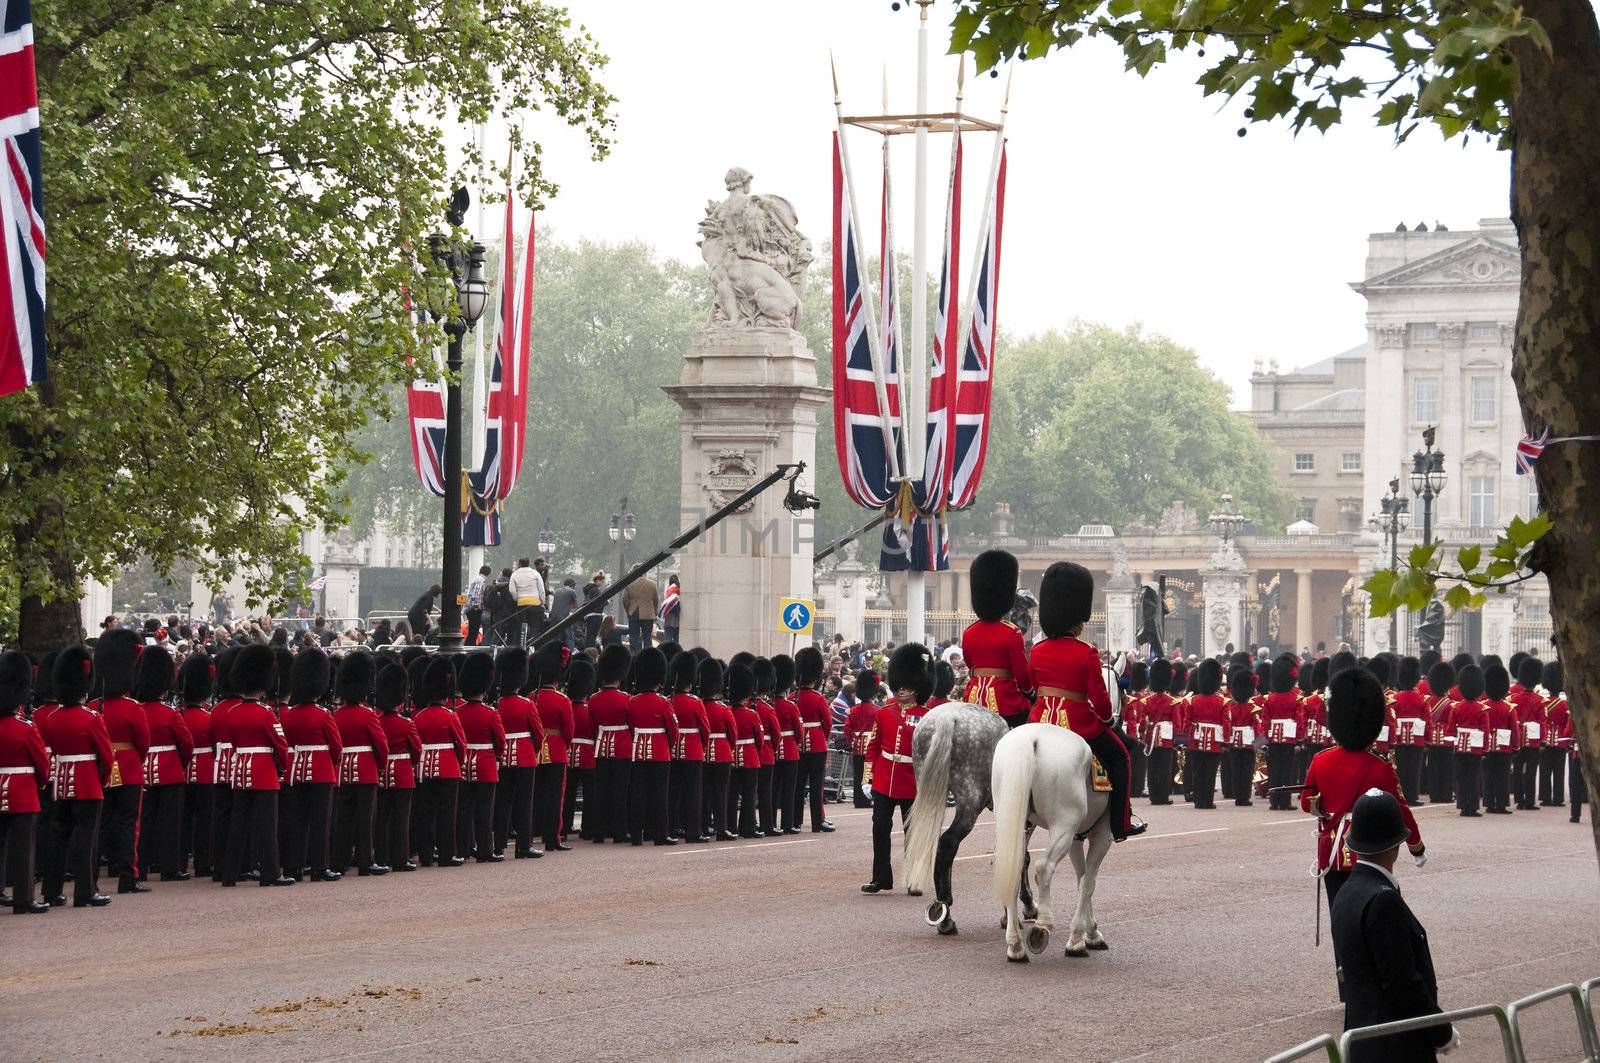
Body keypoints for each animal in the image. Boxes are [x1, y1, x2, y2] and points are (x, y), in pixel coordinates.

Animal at [985, 723, 1113, 960]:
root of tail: (1030, 738)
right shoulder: (1101, 835)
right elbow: (1088, 882)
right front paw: (1078, 939)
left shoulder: (1076, 838)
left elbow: (1082, 878)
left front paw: (1089, 933)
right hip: (1063, 826)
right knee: (1044, 867)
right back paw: (1042, 924)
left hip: (1017, 821)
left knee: (1015, 868)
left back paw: (1015, 945)